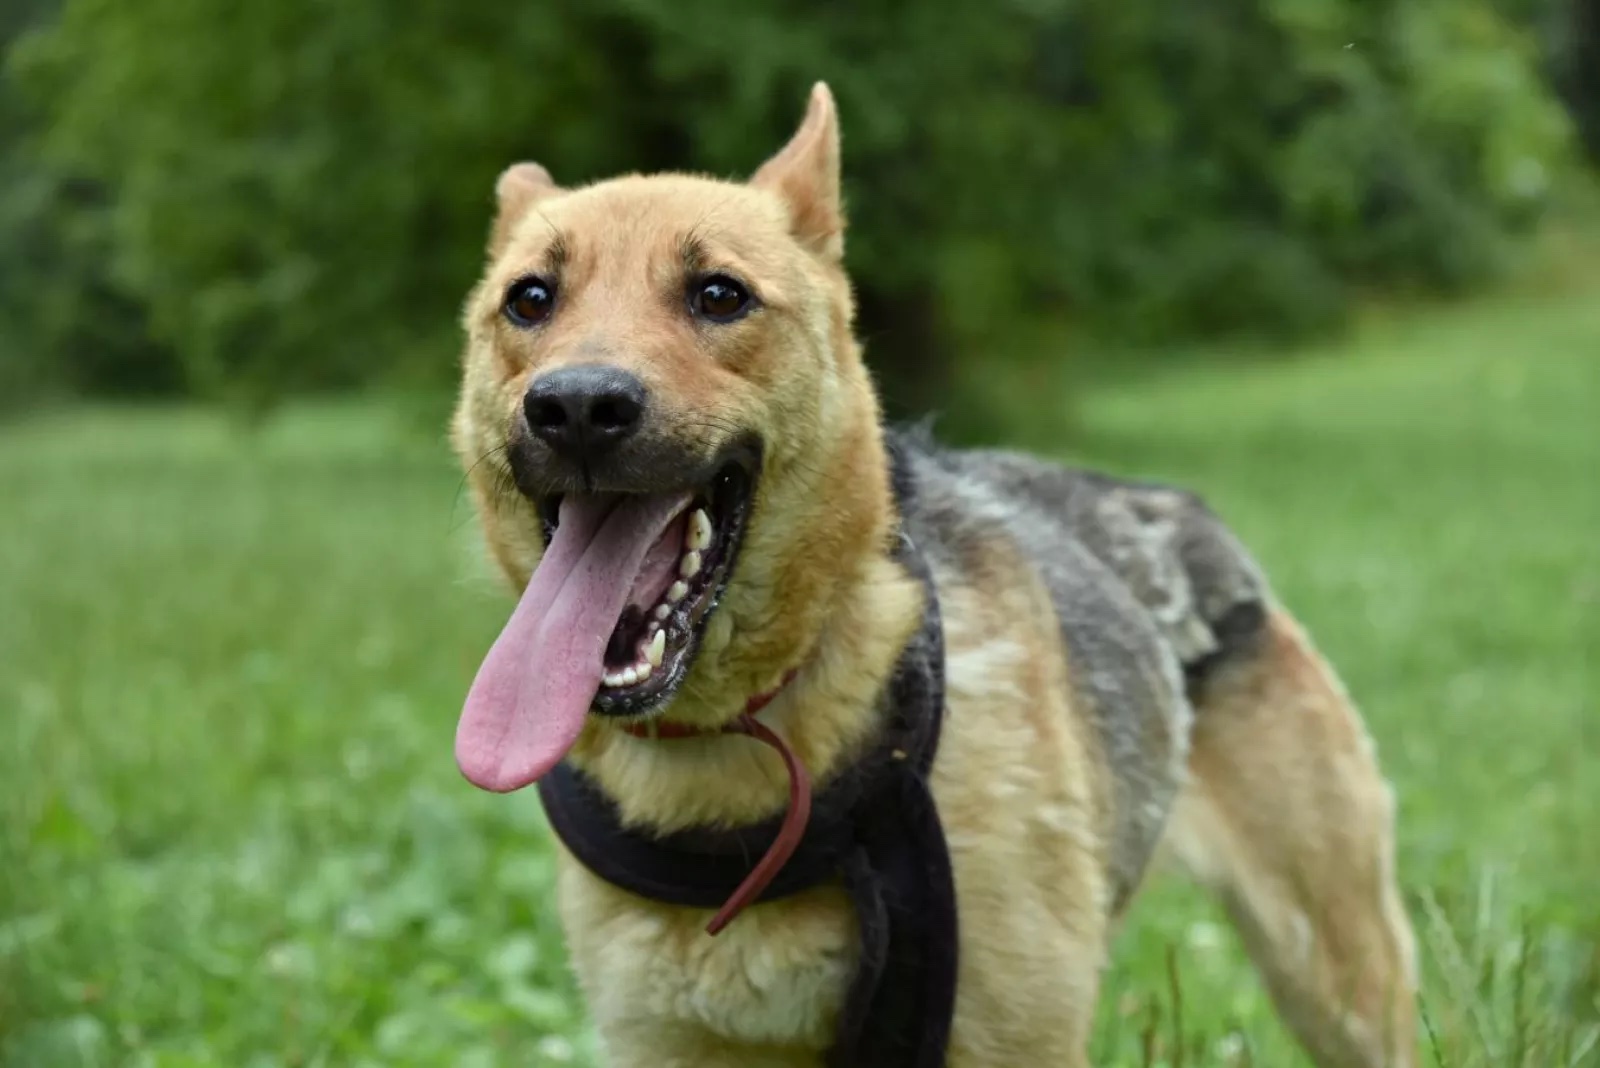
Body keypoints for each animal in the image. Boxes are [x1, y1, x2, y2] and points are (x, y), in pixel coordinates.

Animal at [449, 82, 1418, 1067]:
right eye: (530, 300)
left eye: (719, 295)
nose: (577, 406)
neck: (740, 742)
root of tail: (1189, 519)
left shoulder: (1005, 1032)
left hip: (1338, 980)